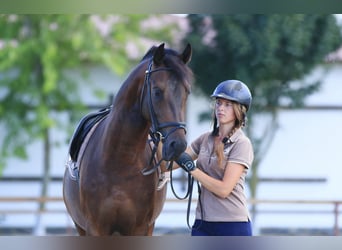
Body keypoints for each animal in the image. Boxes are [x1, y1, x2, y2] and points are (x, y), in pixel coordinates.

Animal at [62, 43, 194, 236]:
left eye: (187, 92)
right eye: (157, 92)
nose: (178, 145)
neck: (121, 160)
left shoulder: (140, 228)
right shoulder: (95, 228)